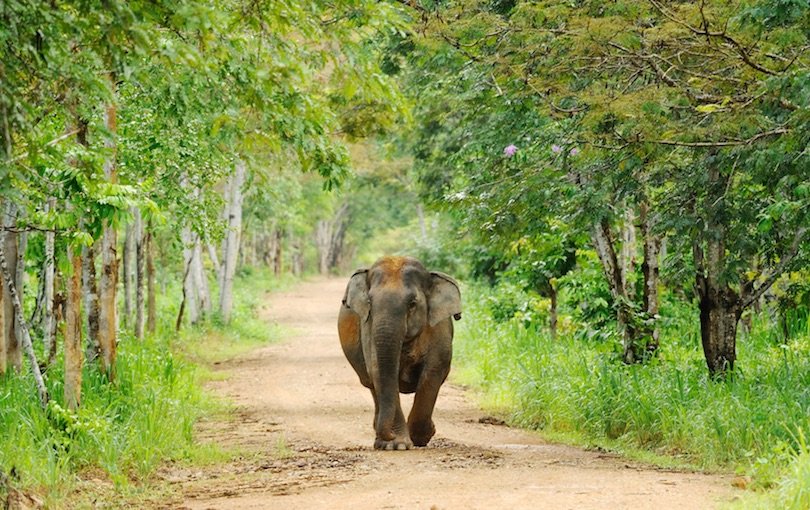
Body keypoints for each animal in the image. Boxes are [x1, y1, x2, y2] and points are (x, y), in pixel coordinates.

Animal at [336, 256, 460, 448]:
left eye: (412, 304)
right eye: (370, 303)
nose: (388, 436)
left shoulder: (439, 329)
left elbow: (432, 372)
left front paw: (421, 437)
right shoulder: (368, 327)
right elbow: (379, 371)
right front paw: (396, 445)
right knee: (372, 385)